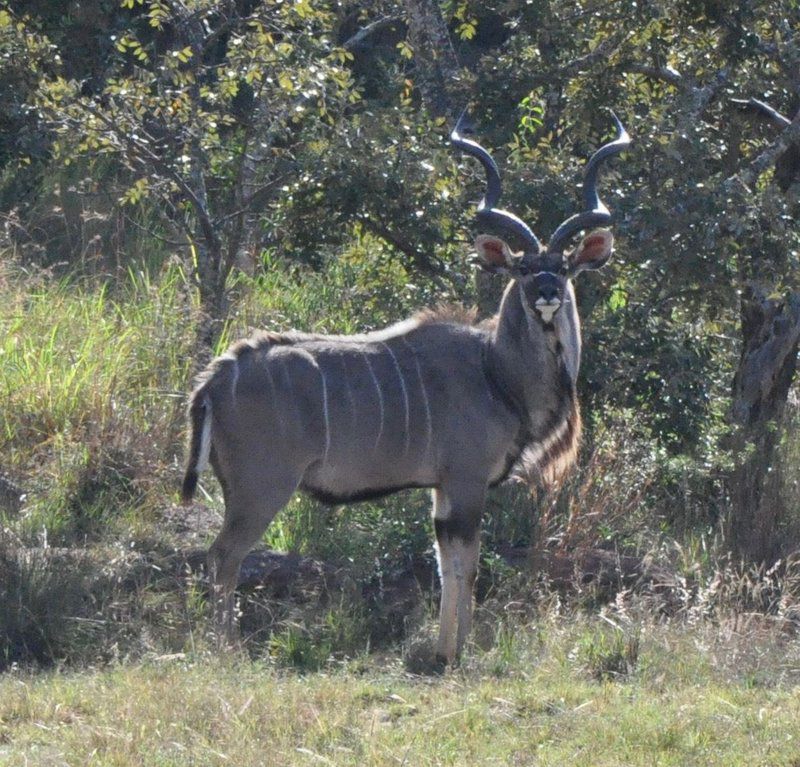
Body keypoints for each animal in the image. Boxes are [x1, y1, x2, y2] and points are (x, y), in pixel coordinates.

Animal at [183, 114, 632, 664]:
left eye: (564, 267)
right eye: (523, 267)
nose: (547, 292)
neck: (496, 371)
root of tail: (214, 379)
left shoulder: (441, 490)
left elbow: (446, 567)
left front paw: (442, 651)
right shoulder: (466, 482)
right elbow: (467, 567)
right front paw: (458, 655)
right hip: (261, 487)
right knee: (223, 558)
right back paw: (224, 652)